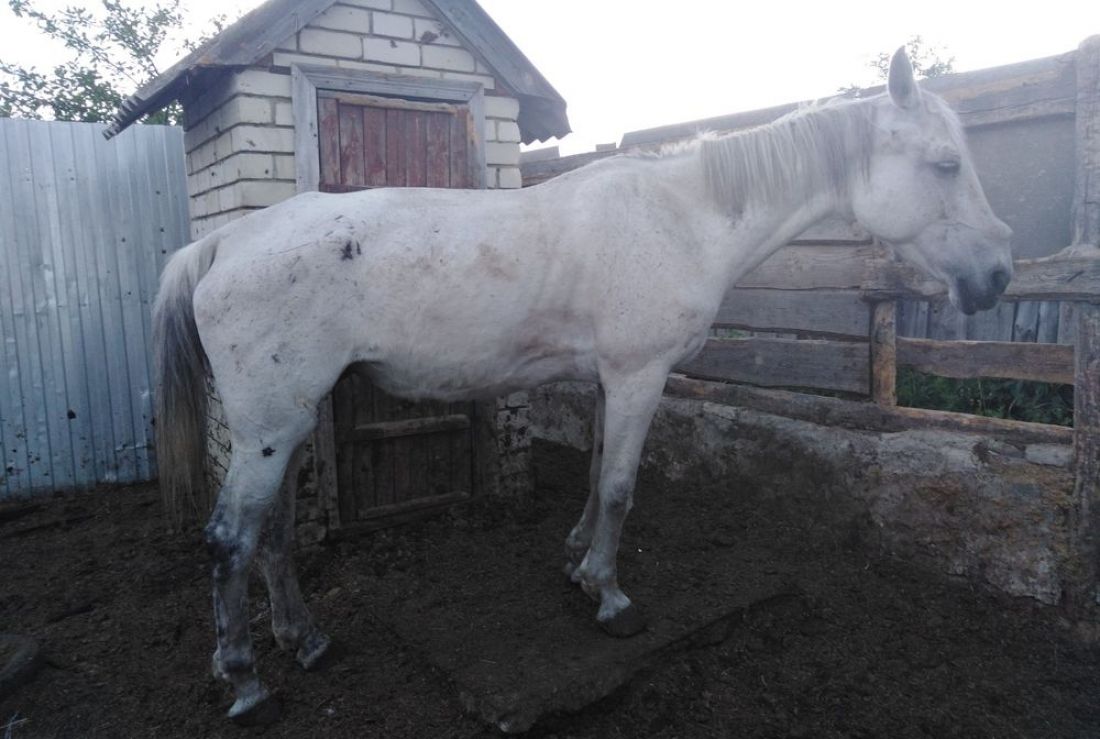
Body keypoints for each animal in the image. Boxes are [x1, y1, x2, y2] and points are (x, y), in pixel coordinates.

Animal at [152, 47, 1013, 723]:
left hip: (292, 422)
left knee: (270, 536)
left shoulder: (608, 381)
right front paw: (610, 597)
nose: (997, 276)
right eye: (944, 164)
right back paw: (246, 681)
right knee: (229, 539)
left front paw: (574, 559)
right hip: (270, 426)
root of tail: (226, 242)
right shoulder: (639, 376)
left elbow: (599, 476)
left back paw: (306, 642)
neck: (680, 217)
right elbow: (625, 487)